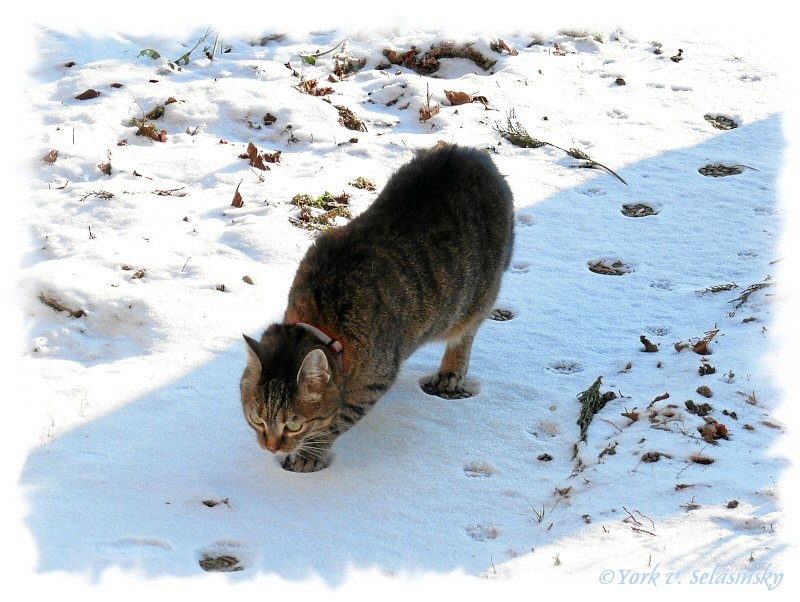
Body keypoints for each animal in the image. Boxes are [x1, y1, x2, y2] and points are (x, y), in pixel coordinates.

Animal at [241, 143, 512, 472]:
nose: (270, 447)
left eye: (294, 425)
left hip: (476, 298)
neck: (322, 320)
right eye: (256, 419)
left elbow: (336, 421)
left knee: (467, 331)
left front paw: (309, 454)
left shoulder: (373, 382)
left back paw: (452, 370)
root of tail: (471, 152)